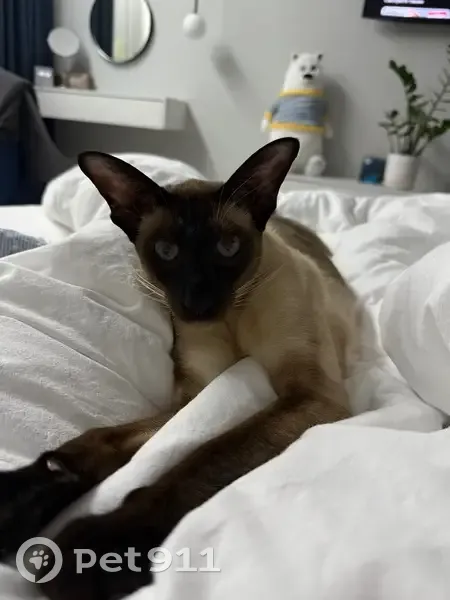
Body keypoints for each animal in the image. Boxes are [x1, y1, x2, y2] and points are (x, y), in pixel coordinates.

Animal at [0, 138, 360, 600]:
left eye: (228, 248)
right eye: (167, 252)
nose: (197, 302)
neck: (230, 320)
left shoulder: (310, 396)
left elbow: (205, 459)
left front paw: (96, 552)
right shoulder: (199, 392)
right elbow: (100, 441)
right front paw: (19, 499)